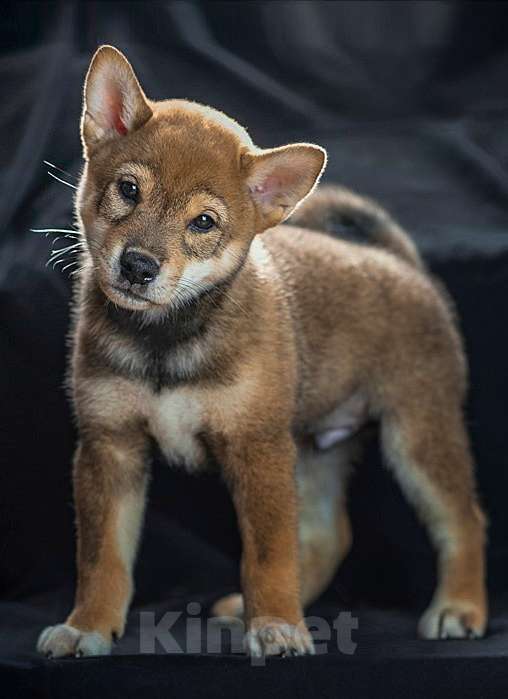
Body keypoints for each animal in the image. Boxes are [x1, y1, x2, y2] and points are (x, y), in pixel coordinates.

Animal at [36, 46, 488, 660]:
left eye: (204, 222)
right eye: (128, 190)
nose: (137, 266)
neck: (167, 339)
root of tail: (400, 262)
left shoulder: (256, 449)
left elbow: (268, 555)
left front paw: (275, 627)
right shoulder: (110, 447)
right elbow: (102, 558)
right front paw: (87, 626)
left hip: (416, 434)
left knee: (463, 520)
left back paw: (459, 608)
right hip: (315, 448)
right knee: (330, 534)